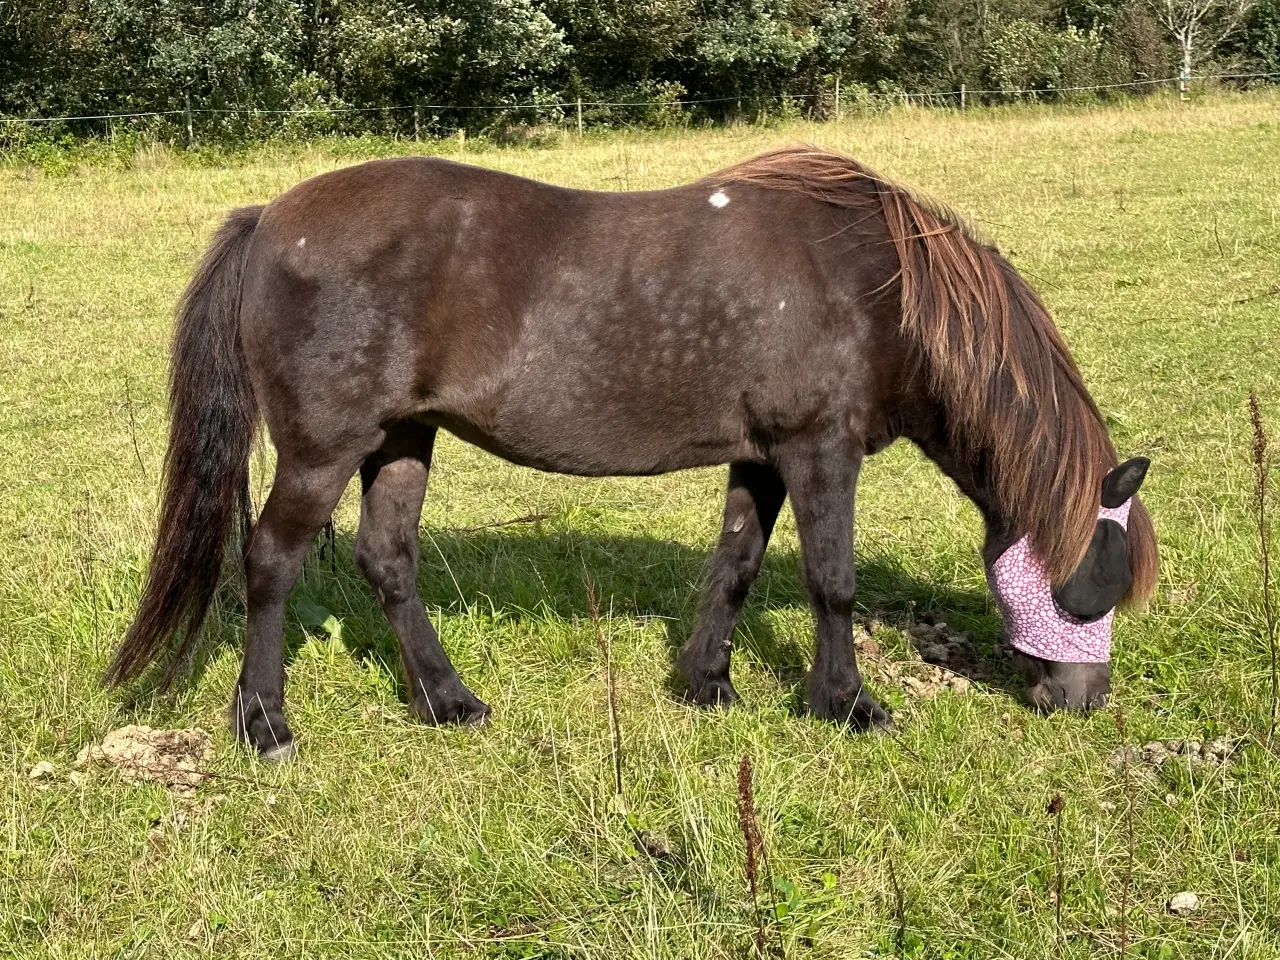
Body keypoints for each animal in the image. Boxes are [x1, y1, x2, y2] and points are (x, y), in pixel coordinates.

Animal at [104, 144, 1157, 757]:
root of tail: (268, 220)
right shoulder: (819, 450)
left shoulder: (761, 457)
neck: (876, 283)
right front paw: (847, 704)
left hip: (401, 438)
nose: (1083, 701)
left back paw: (448, 701)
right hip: (324, 449)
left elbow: (736, 564)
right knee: (270, 563)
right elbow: (831, 580)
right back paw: (265, 724)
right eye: (1093, 583)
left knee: (386, 559)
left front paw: (708, 684)